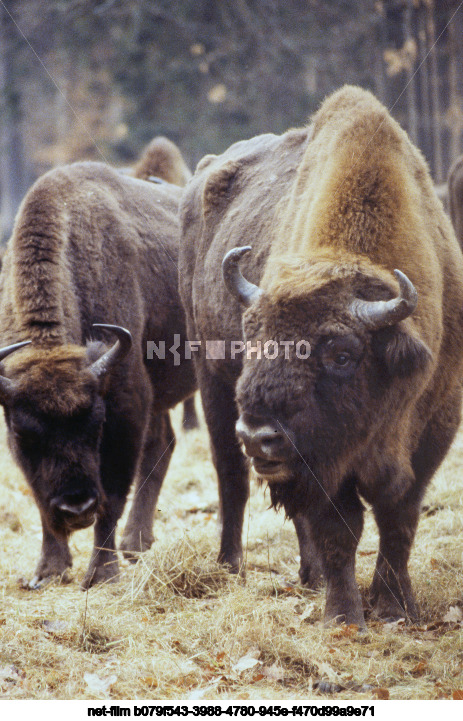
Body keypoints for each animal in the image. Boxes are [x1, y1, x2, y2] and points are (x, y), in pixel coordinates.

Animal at [0, 160, 196, 588]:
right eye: (24, 433)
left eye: (97, 423)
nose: (76, 508)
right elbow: (39, 499)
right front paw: (50, 569)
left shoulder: (126, 404)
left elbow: (113, 495)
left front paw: (103, 573)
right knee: (164, 443)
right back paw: (137, 542)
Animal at [181, 84, 463, 624]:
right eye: (251, 335)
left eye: (342, 354)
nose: (260, 435)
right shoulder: (324, 461)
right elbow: (339, 527)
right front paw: (344, 615)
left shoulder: (436, 425)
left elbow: (400, 518)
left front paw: (395, 606)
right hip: (212, 380)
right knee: (231, 477)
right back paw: (232, 565)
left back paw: (309, 576)